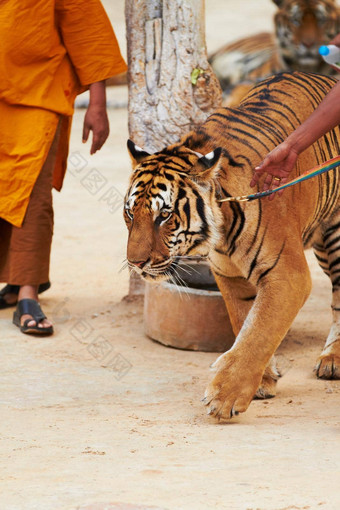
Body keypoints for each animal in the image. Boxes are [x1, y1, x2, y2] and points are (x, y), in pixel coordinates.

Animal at [123, 71, 340, 420]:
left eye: (164, 215)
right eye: (131, 213)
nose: (136, 263)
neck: (221, 231)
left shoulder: (286, 275)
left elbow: (260, 330)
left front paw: (225, 396)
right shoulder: (230, 276)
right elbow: (245, 322)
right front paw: (263, 380)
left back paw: (332, 359)